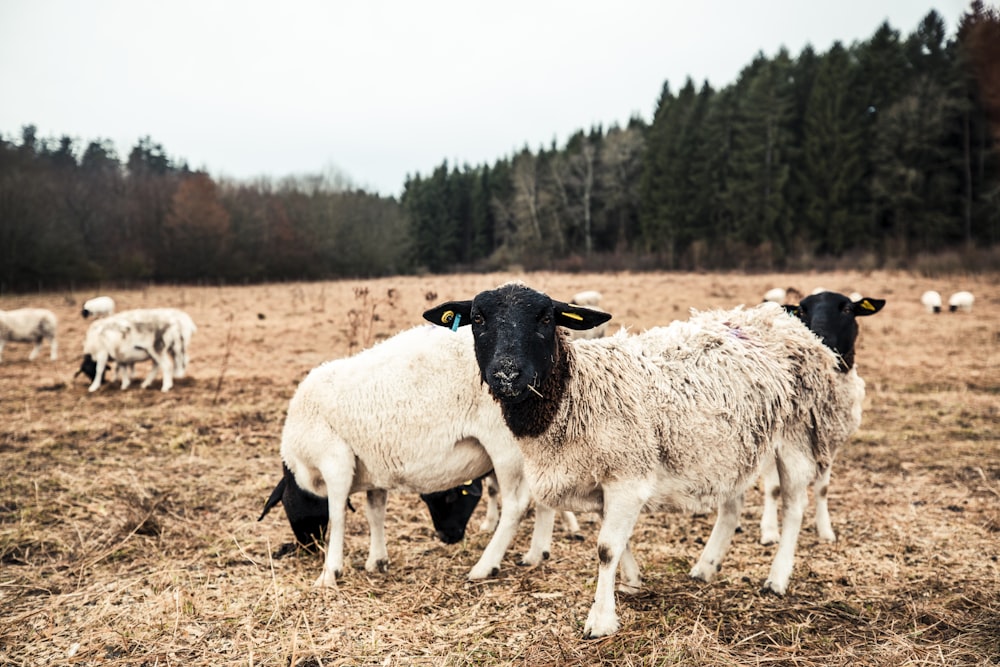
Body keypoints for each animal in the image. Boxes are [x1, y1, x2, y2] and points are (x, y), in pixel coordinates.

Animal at [424, 284, 860, 640]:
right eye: (478, 319)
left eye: (546, 318)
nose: (507, 375)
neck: (575, 393)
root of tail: (784, 322)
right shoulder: (607, 477)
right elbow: (619, 539)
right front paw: (631, 583)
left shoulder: (626, 475)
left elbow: (606, 548)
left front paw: (600, 620)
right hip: (730, 446)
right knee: (732, 506)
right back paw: (707, 566)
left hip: (796, 435)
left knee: (794, 505)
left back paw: (777, 577)